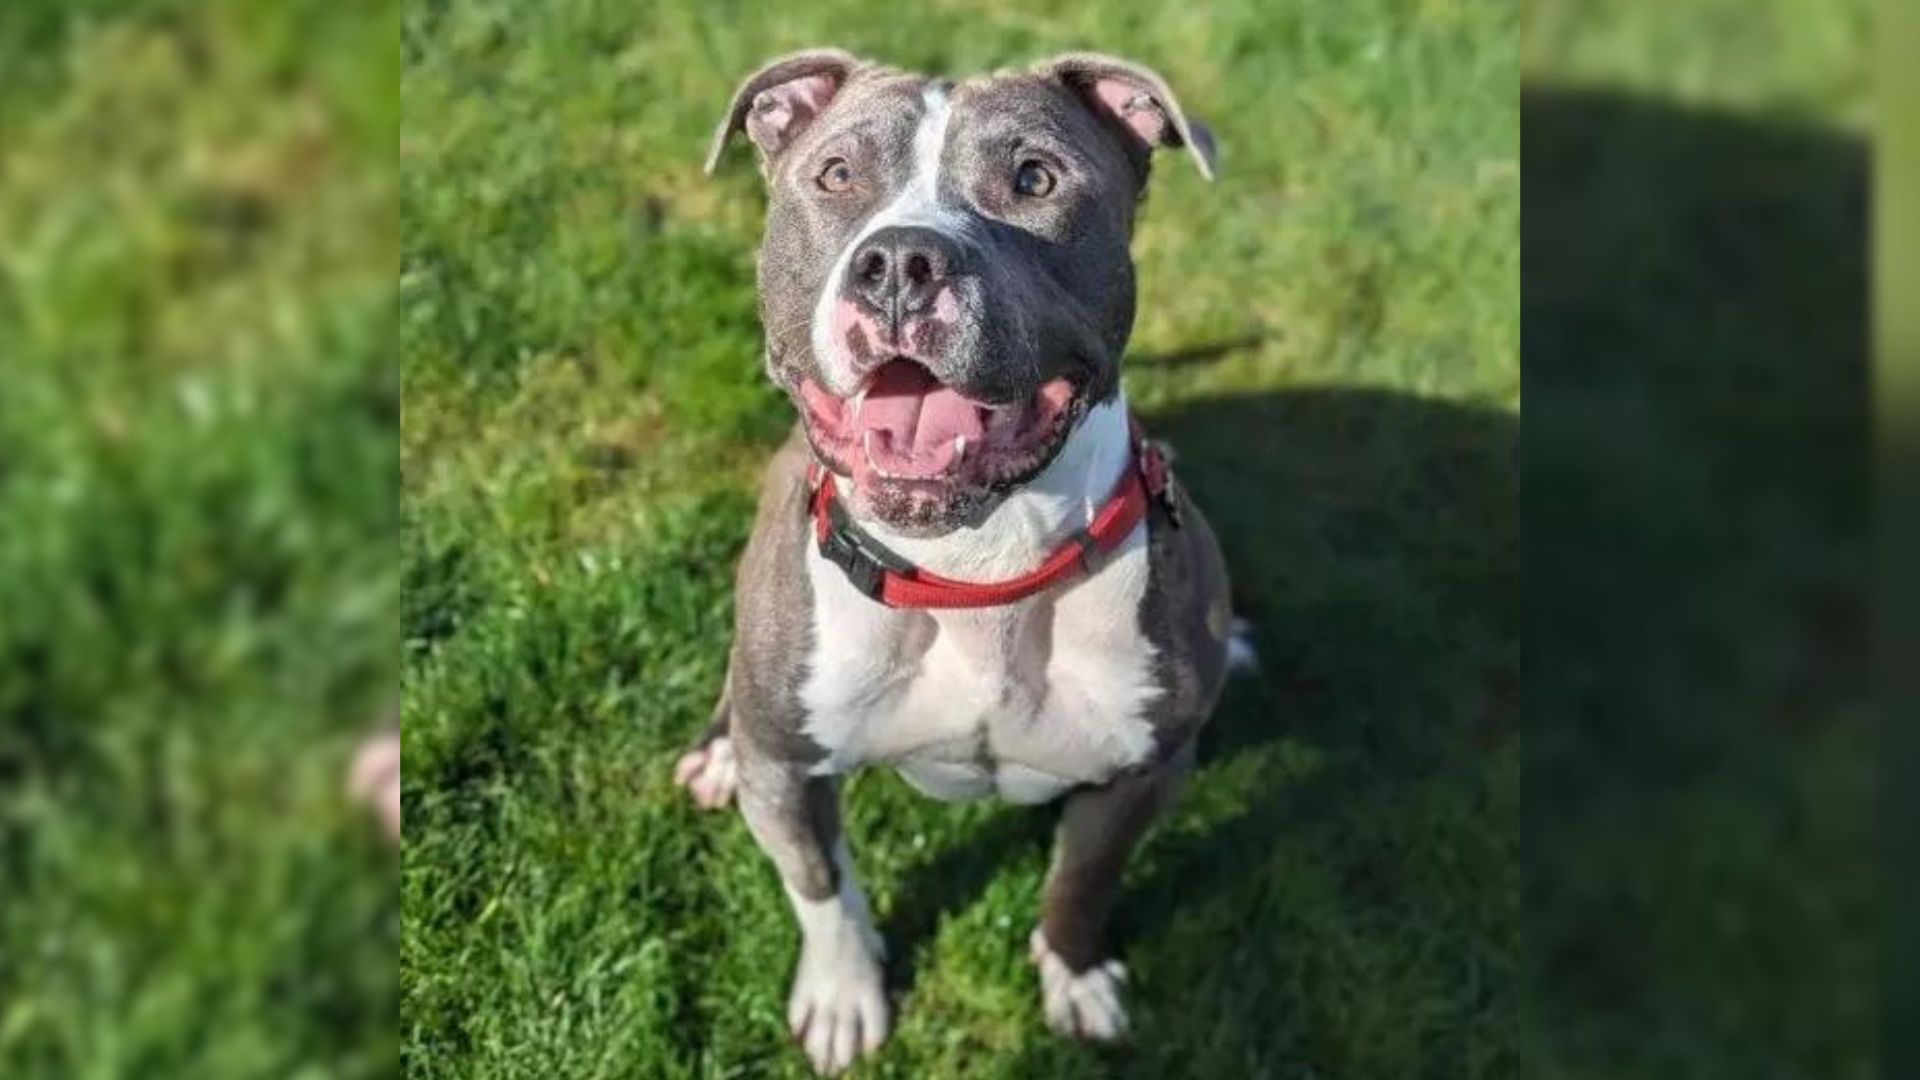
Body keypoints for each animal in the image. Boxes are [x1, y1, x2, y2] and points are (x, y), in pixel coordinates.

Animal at [675, 48, 1236, 1068]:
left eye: (1035, 179)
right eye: (837, 175)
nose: (900, 262)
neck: (980, 571)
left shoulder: (1143, 774)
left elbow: (1080, 884)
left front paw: (1073, 975)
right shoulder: (791, 770)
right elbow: (820, 887)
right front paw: (844, 996)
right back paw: (715, 754)